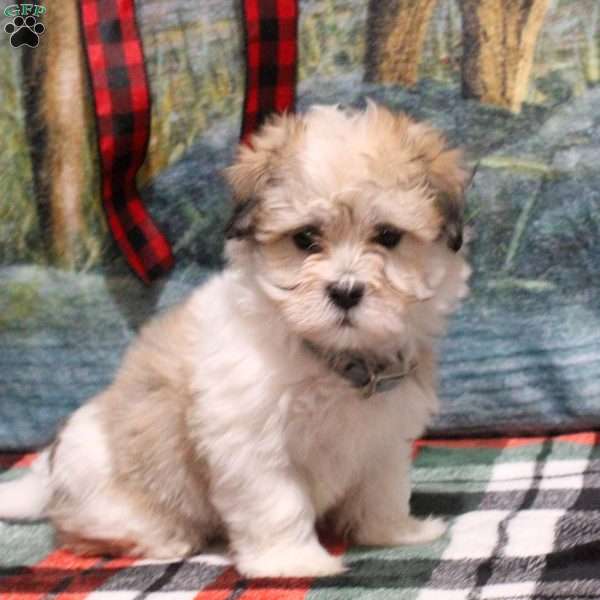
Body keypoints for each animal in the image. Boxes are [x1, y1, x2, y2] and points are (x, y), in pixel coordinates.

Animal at [0, 102, 468, 576]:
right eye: (305, 238)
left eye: (388, 236)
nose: (345, 291)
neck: (332, 358)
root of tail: (50, 477)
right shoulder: (250, 442)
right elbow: (278, 502)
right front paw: (293, 561)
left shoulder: (383, 438)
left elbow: (382, 488)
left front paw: (394, 532)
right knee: (88, 529)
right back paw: (165, 539)